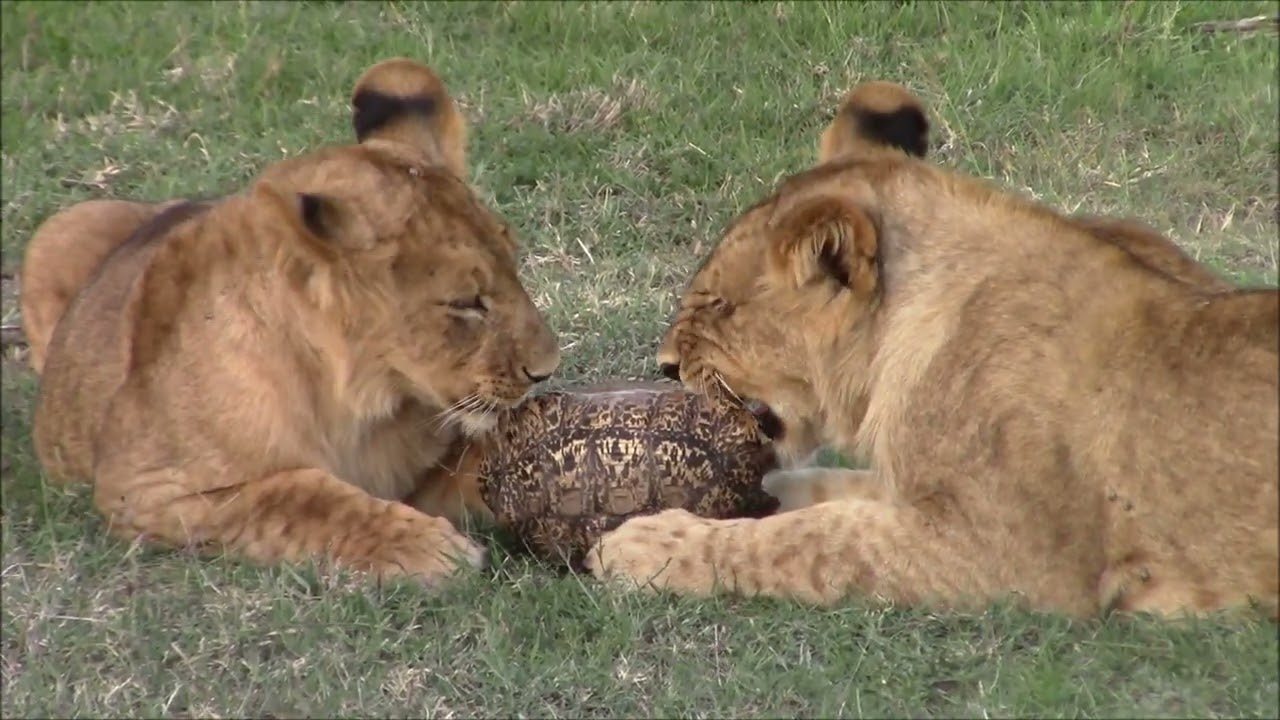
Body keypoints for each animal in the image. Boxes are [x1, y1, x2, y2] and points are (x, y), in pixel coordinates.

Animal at [30, 58, 560, 585]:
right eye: (466, 303)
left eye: (514, 265)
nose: (546, 370)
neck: (360, 405)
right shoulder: (147, 488)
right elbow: (298, 498)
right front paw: (429, 547)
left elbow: (483, 466)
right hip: (58, 231)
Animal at [585, 80, 1279, 620]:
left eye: (716, 306)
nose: (664, 366)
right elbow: (824, 490)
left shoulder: (1008, 556)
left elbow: (812, 542)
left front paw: (645, 546)